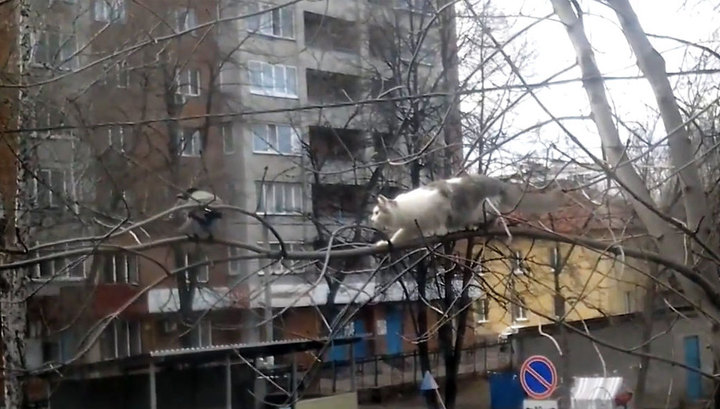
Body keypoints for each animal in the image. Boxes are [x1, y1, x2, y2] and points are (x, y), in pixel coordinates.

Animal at [372, 173, 564, 247]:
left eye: (376, 212)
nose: (371, 220)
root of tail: (498, 182)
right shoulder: (411, 228)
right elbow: (398, 237)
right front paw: (384, 244)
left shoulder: (442, 203)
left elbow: (442, 219)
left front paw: (441, 230)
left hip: (485, 207)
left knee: (491, 220)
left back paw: (474, 226)